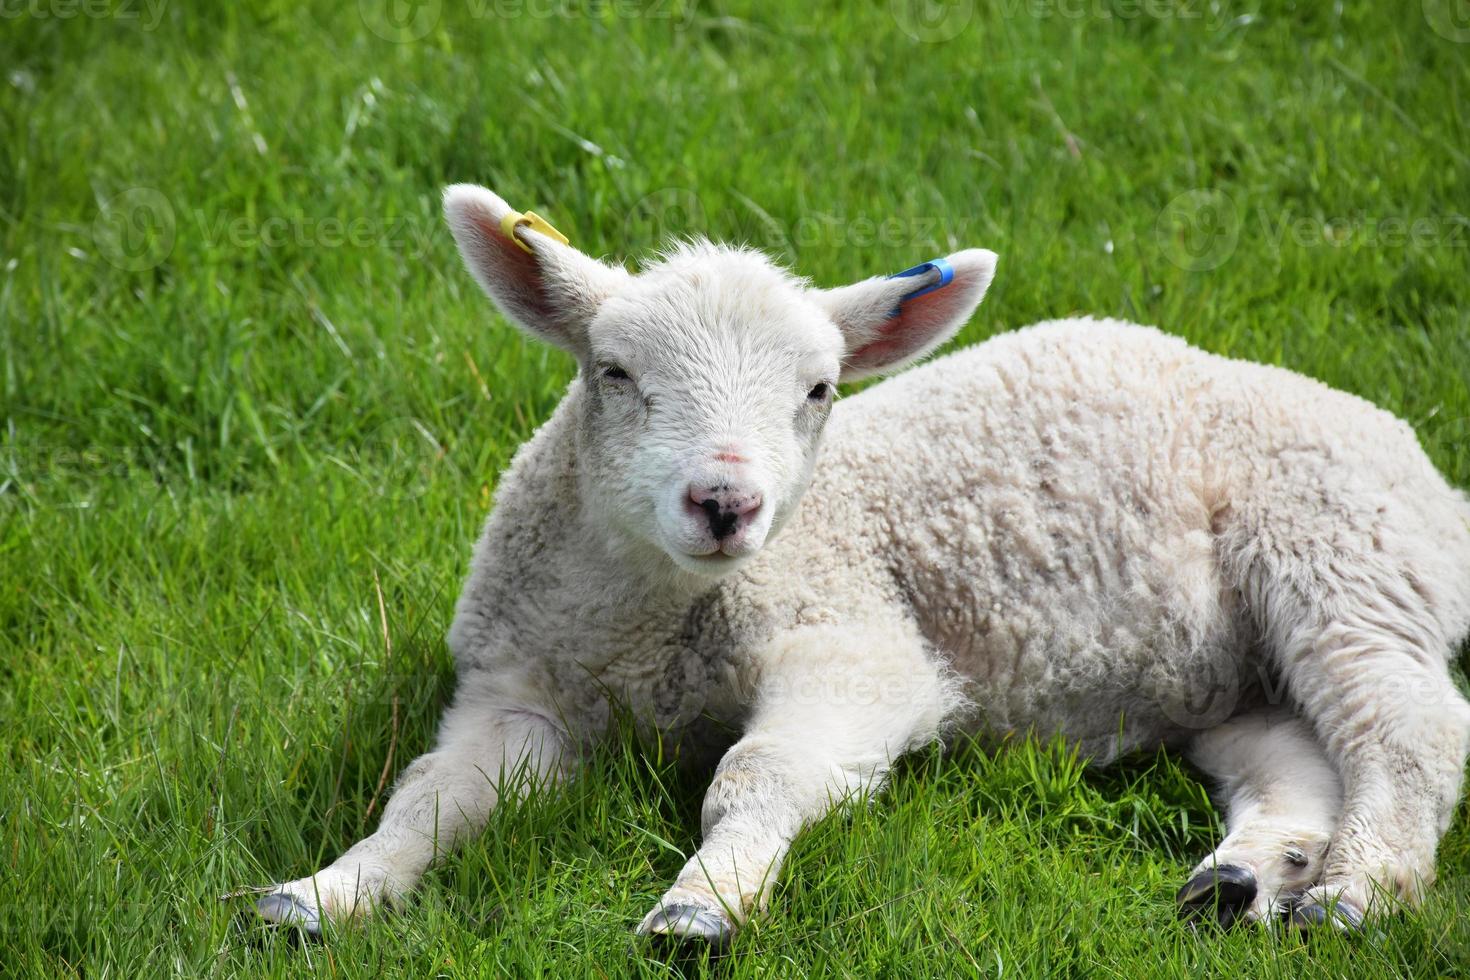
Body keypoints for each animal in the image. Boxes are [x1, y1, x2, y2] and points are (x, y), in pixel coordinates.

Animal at [252, 182, 1470, 940]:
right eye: (613, 372)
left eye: (820, 389)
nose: (726, 502)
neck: (650, 628)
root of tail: (1438, 491)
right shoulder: (515, 687)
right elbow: (430, 797)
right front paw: (324, 893)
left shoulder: (856, 646)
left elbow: (760, 773)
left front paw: (701, 906)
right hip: (1226, 665)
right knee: (1294, 755)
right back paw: (1244, 875)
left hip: (1338, 548)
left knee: (1408, 723)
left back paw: (1361, 889)